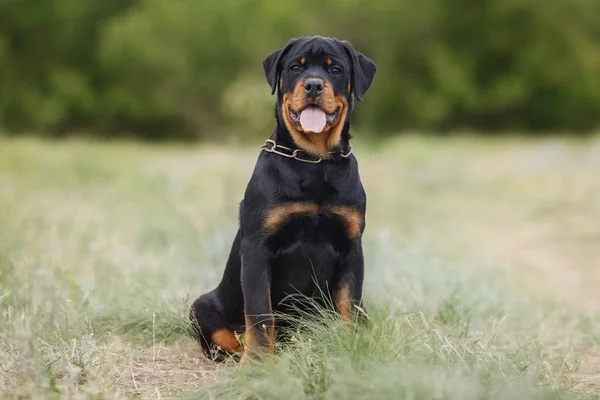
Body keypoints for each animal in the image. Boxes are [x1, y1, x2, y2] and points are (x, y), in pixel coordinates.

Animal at [190, 36, 378, 360]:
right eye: (295, 67)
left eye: (335, 69)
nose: (313, 85)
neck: (314, 161)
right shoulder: (257, 247)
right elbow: (260, 313)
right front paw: (258, 362)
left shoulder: (352, 247)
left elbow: (348, 306)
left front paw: (347, 348)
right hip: (201, 306)